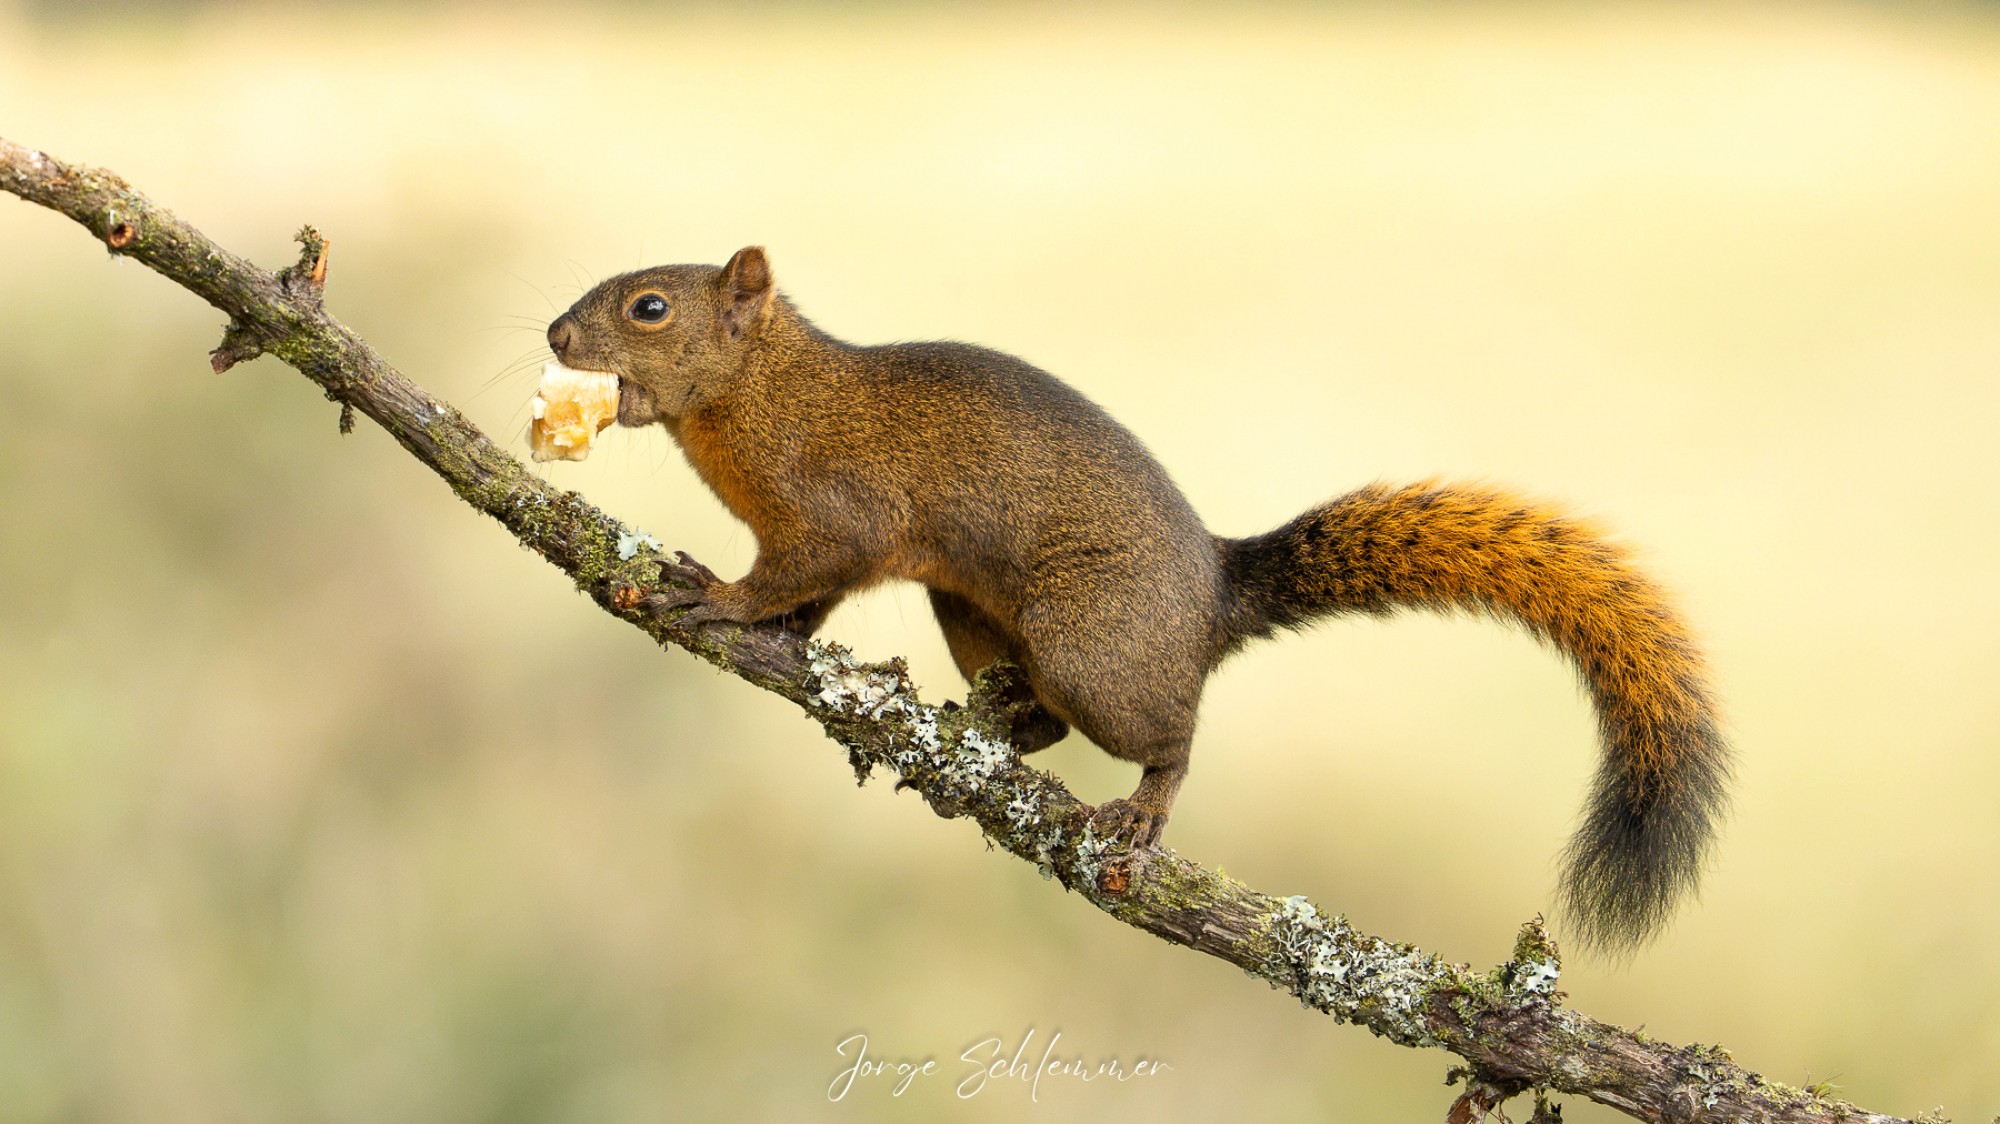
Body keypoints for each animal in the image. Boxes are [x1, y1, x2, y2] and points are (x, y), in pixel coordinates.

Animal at [545, 246, 1732, 951]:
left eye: (649, 307)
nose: (554, 336)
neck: (763, 393)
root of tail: (1212, 596)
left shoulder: (836, 511)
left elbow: (801, 569)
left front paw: (720, 599)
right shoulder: (838, 548)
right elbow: (813, 603)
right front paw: (774, 624)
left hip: (1091, 641)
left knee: (1165, 734)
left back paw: (1144, 803)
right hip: (976, 614)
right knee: (1044, 718)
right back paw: (993, 724)